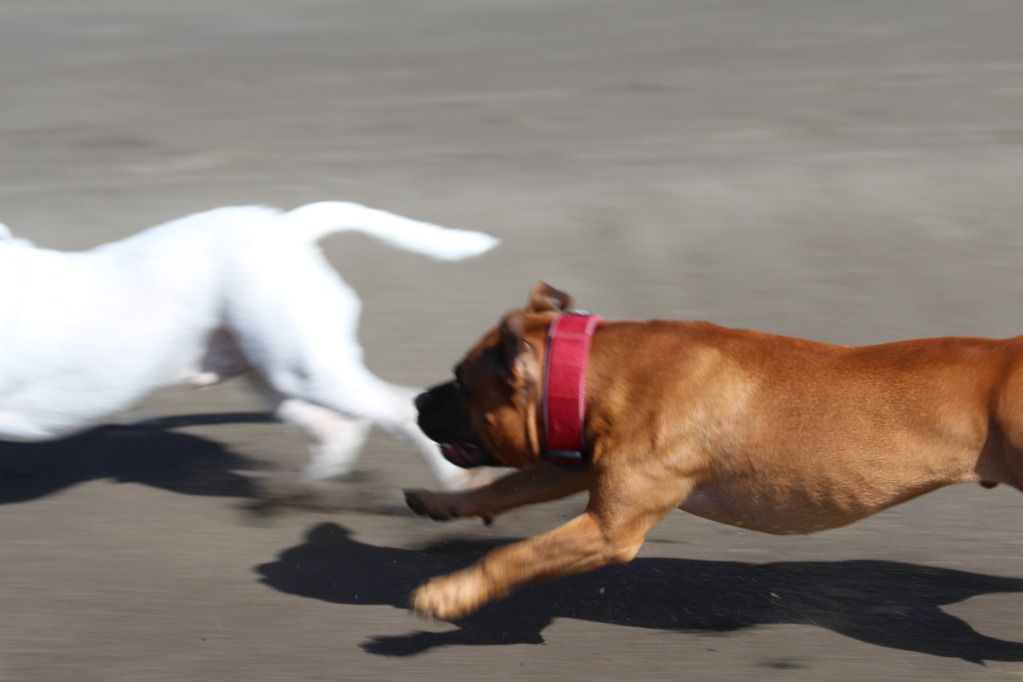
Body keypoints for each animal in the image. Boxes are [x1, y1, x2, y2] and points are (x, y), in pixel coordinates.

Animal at [0, 200, 497, 488]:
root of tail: (287, 227)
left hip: (306, 371)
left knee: (396, 409)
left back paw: (453, 482)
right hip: (270, 376)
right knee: (338, 428)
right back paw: (307, 492)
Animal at [403, 286, 1018, 621]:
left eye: (460, 382)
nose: (415, 401)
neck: (597, 371)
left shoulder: (609, 529)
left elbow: (511, 556)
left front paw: (451, 592)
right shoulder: (576, 462)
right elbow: (507, 486)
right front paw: (443, 502)